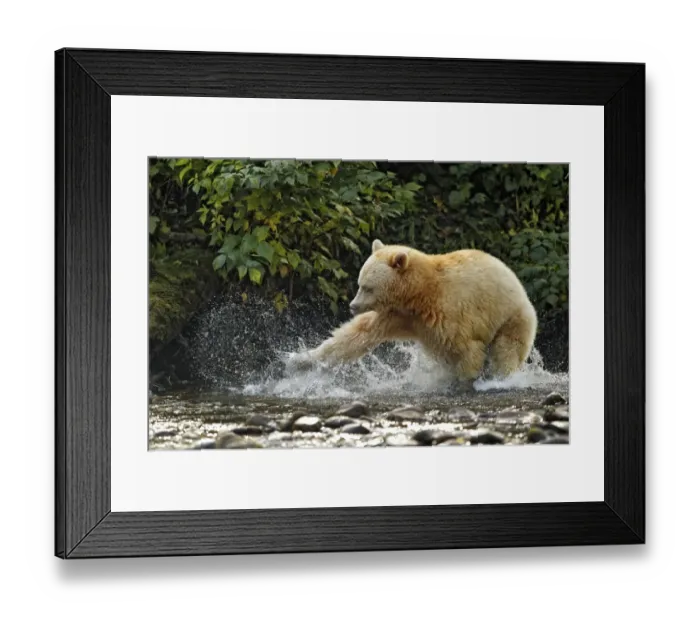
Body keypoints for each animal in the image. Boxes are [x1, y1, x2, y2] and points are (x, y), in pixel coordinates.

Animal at [290, 239, 538, 381]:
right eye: (359, 283)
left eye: (367, 287)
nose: (352, 306)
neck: (419, 294)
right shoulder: (398, 315)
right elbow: (356, 336)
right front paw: (299, 359)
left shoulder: (451, 313)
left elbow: (466, 350)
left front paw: (461, 381)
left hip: (512, 318)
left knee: (507, 351)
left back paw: (501, 376)